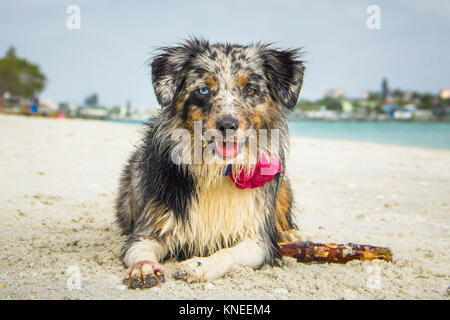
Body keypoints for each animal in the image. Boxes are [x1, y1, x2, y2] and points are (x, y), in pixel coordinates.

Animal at [116, 38, 306, 288]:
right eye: (203, 90)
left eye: (250, 89)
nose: (227, 124)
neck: (217, 170)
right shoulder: (149, 228)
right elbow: (141, 249)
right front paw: (144, 267)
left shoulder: (259, 241)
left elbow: (230, 253)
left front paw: (200, 265)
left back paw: (291, 234)